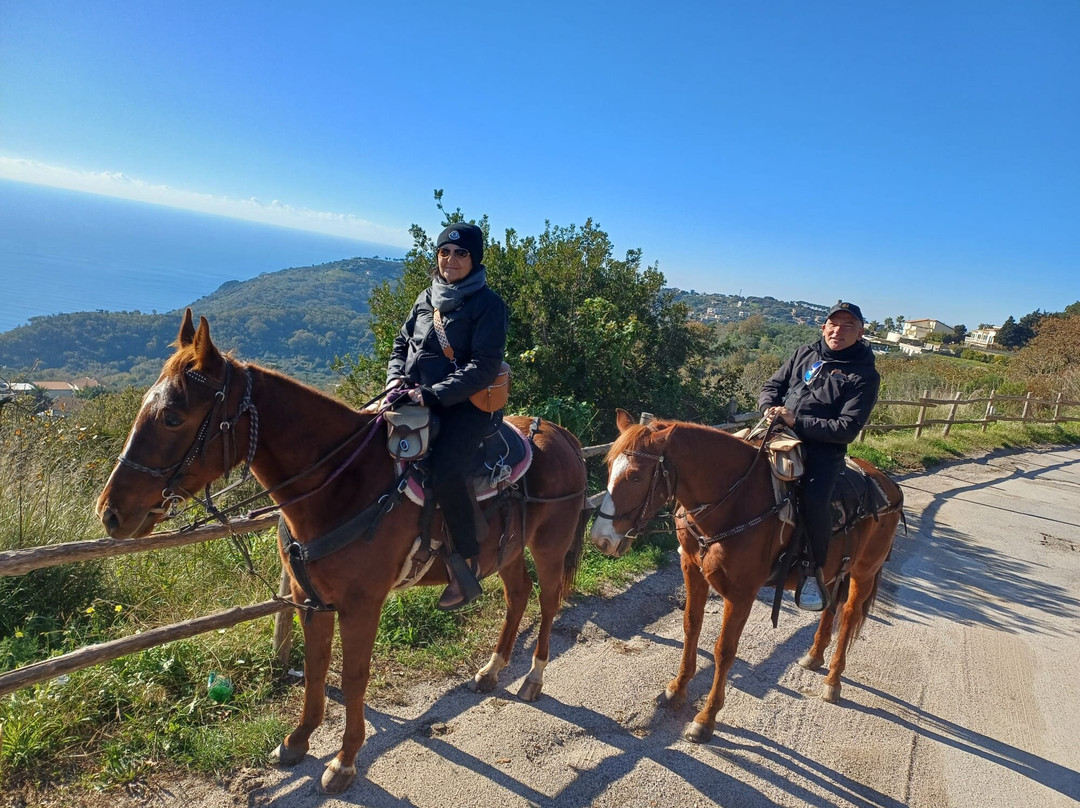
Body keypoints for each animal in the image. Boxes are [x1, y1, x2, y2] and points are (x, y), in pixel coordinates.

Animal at [95, 310, 589, 794]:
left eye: (173, 417)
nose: (111, 512)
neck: (340, 485)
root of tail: (562, 435)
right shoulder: (310, 600)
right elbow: (315, 669)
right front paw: (297, 740)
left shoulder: (361, 605)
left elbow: (353, 678)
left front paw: (345, 760)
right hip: (507, 552)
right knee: (518, 594)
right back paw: (492, 669)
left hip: (549, 548)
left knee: (547, 601)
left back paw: (533, 677)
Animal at [590, 409, 903, 743]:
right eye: (609, 467)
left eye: (636, 475)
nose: (601, 539)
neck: (734, 502)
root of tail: (888, 486)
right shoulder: (692, 571)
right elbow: (691, 628)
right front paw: (677, 689)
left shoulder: (741, 593)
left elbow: (724, 650)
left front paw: (706, 718)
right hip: (834, 572)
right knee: (830, 607)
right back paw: (815, 656)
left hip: (864, 572)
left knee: (849, 614)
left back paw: (833, 681)